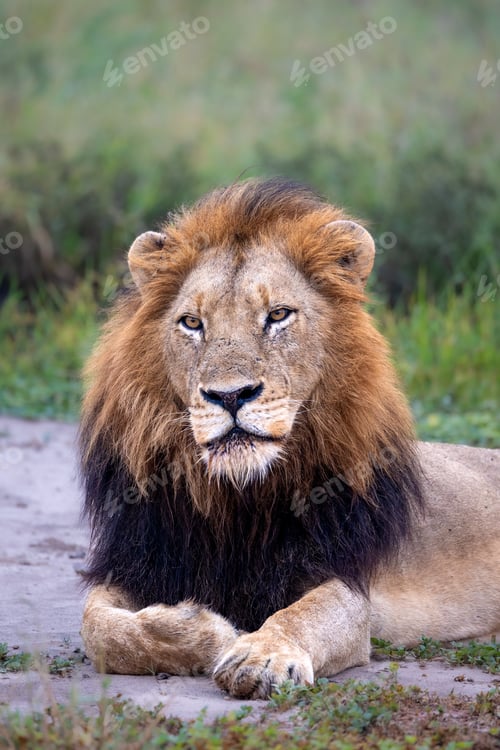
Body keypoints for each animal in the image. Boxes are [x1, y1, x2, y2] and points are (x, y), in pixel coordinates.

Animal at [79, 178, 500, 699]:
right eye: (192, 323)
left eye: (278, 315)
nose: (230, 395)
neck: (236, 502)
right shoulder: (141, 561)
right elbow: (100, 628)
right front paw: (207, 630)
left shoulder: (345, 582)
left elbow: (303, 614)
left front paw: (259, 654)